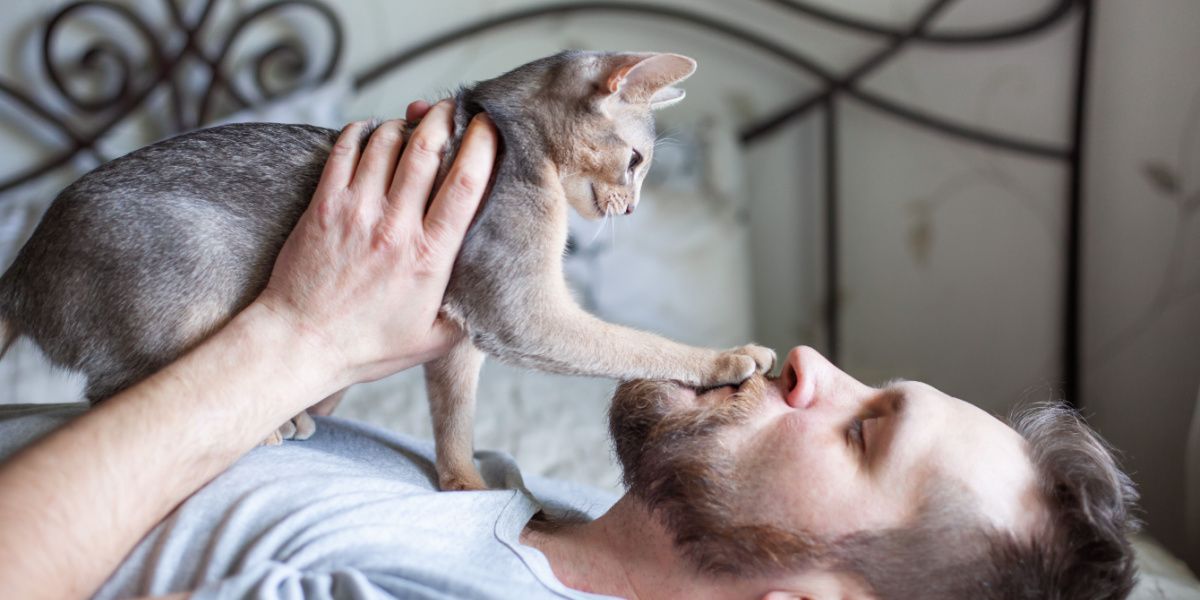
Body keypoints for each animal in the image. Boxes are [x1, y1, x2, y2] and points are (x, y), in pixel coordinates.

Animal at [0, 51, 772, 489]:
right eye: (637, 160)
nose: (633, 207)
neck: (511, 139)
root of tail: (23, 267)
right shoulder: (519, 311)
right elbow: (638, 344)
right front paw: (724, 359)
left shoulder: (458, 343)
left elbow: (454, 423)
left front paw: (465, 485)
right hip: (190, 274)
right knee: (112, 392)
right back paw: (267, 425)